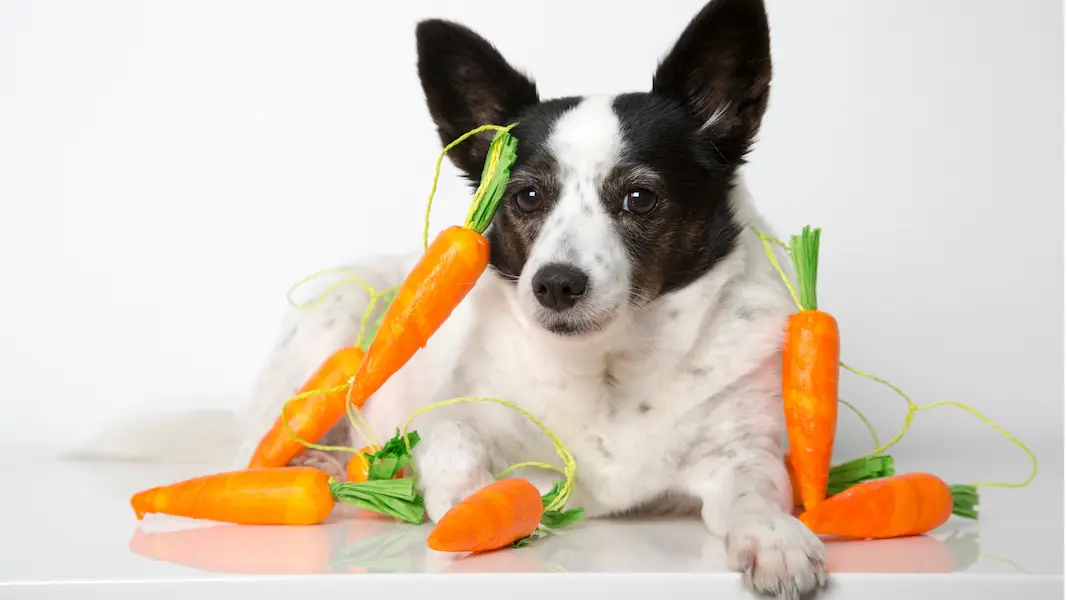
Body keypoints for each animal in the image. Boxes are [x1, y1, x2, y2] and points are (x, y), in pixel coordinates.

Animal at [96, 2, 823, 593]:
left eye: (639, 197)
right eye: (525, 195)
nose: (554, 284)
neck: (609, 368)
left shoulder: (745, 451)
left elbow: (759, 494)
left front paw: (777, 540)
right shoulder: (449, 418)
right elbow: (456, 452)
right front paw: (475, 502)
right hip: (330, 329)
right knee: (257, 451)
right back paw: (322, 465)